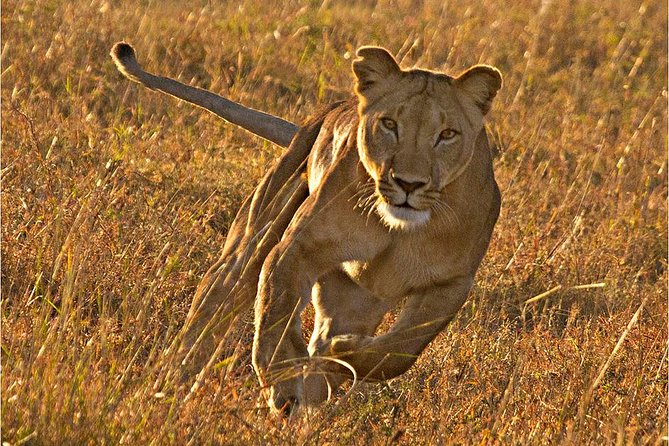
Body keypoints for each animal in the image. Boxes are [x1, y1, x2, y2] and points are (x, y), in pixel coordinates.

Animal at [111, 42, 502, 416]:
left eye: (447, 134)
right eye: (389, 124)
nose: (408, 183)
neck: (398, 229)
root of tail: (318, 117)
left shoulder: (451, 284)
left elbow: (398, 352)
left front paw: (343, 352)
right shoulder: (296, 247)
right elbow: (275, 311)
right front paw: (282, 382)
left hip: (354, 301)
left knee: (326, 351)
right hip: (251, 242)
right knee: (209, 314)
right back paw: (167, 389)